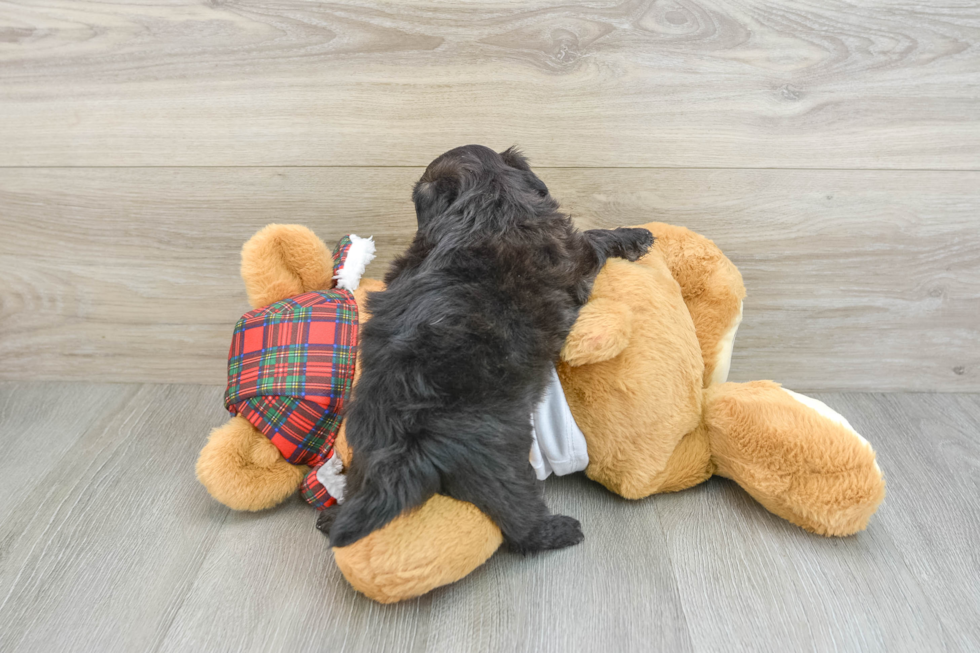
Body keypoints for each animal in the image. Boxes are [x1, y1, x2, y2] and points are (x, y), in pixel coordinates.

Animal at [326, 146, 656, 552]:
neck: (490, 198)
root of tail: (408, 436)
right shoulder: (575, 255)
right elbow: (595, 237)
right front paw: (636, 235)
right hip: (500, 458)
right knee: (518, 520)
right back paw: (560, 531)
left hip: (365, 447)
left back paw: (331, 517)